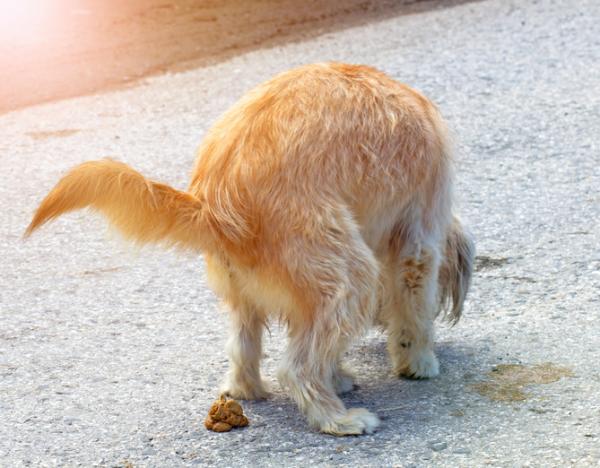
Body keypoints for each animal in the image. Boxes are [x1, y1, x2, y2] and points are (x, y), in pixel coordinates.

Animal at [25, 62, 474, 436]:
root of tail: (215, 204)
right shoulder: (419, 239)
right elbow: (414, 307)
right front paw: (418, 362)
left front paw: (340, 374)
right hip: (352, 277)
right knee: (296, 367)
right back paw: (337, 418)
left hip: (246, 291)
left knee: (244, 348)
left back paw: (249, 390)